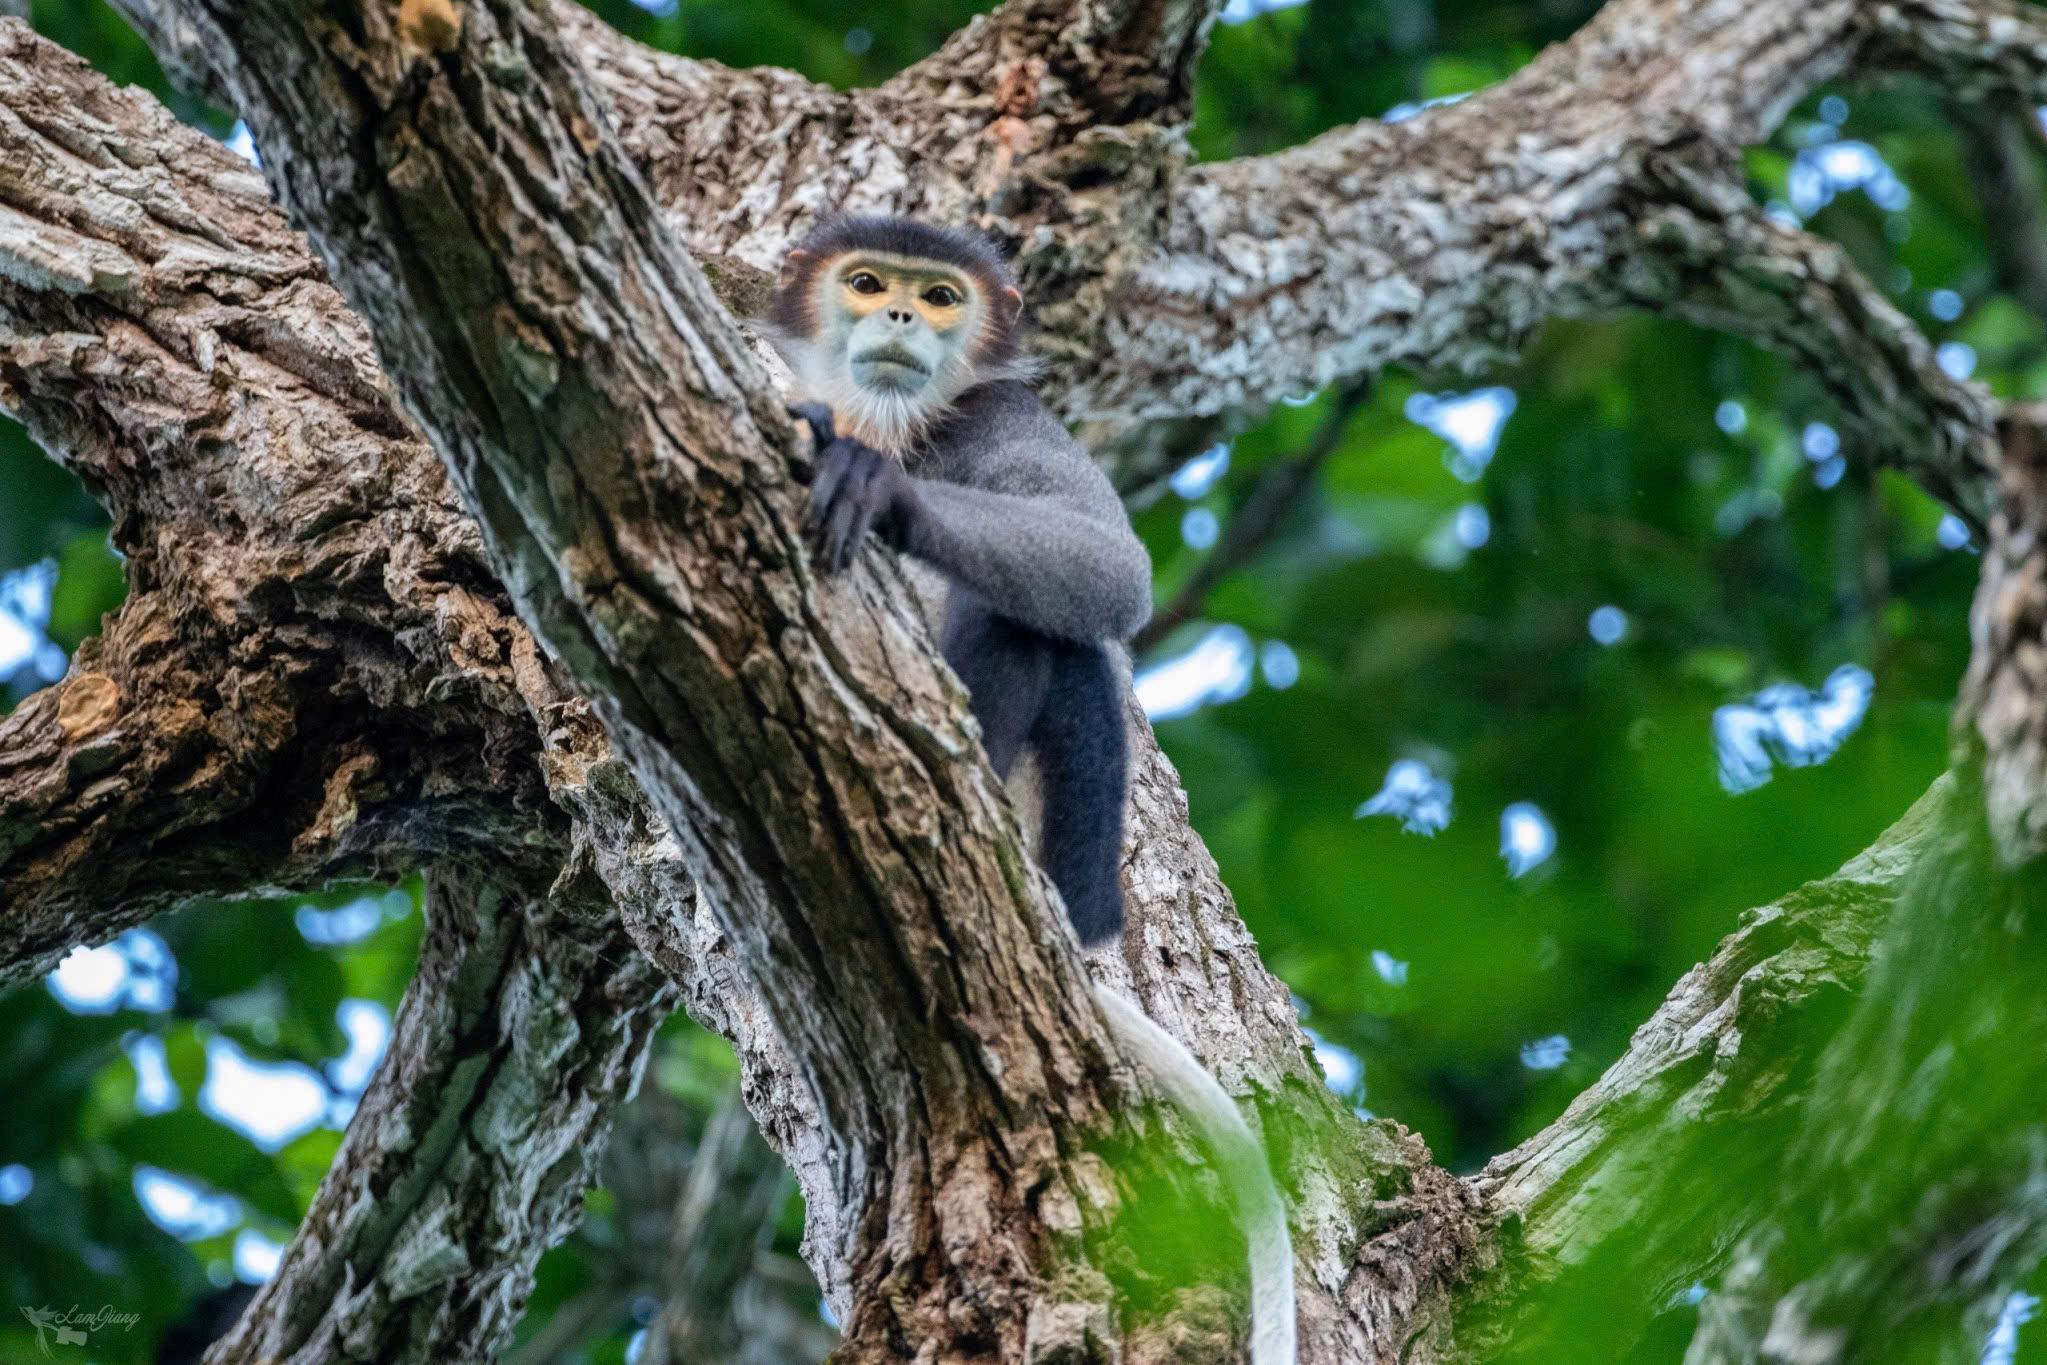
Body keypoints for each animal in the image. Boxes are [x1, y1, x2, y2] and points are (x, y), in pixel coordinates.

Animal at [769, 215, 1293, 1365]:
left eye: (939, 296)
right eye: (864, 282)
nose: (900, 313)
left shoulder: (1003, 414)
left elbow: (1109, 570)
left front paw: (884, 491)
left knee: (1050, 629)